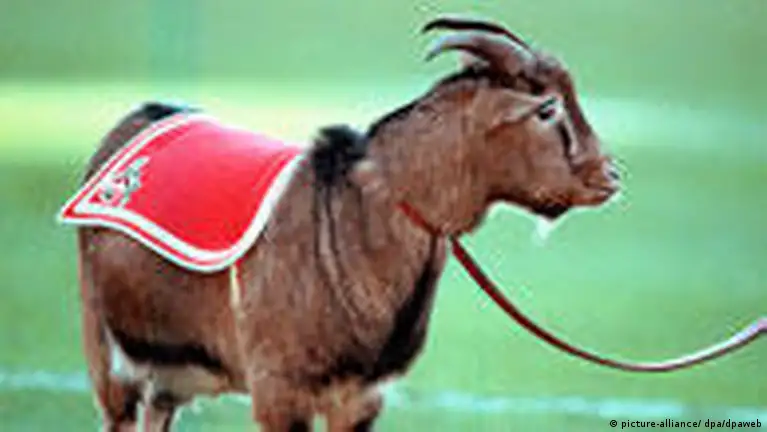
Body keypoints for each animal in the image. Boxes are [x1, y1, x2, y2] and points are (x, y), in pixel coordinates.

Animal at [65, 16, 619, 431]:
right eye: (546, 109)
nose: (610, 175)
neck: (350, 224)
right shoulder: (279, 390)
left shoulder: (360, 396)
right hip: (109, 359)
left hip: (169, 376)